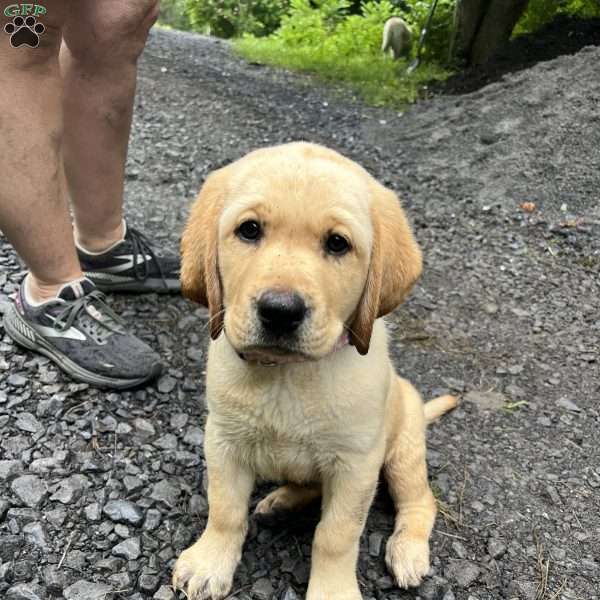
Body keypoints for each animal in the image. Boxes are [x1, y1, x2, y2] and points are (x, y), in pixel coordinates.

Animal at [171, 143, 458, 596]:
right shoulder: (222, 440)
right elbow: (225, 509)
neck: (287, 375)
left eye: (337, 243)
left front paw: (333, 591)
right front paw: (210, 562)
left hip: (404, 449)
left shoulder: (357, 464)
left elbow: (336, 534)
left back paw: (408, 550)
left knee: (420, 500)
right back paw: (281, 502)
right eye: (249, 230)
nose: (280, 311)